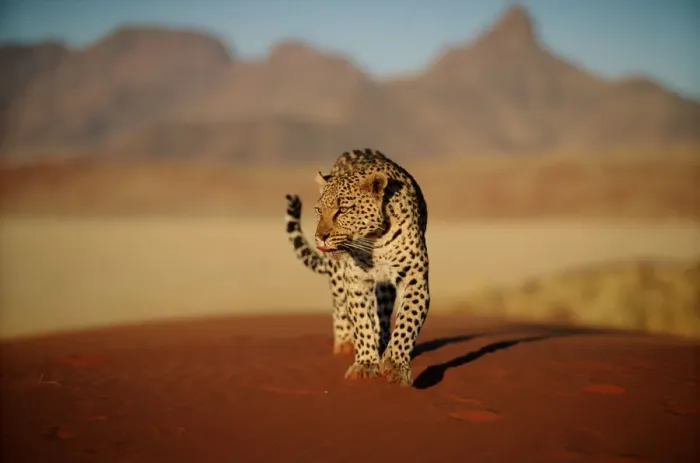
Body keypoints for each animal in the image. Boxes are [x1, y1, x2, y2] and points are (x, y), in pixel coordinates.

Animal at [285, 148, 430, 387]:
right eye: (318, 211)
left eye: (343, 210)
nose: (320, 237)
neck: (375, 240)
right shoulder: (356, 280)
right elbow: (361, 321)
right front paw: (366, 364)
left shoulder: (414, 278)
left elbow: (408, 321)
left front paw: (395, 364)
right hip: (337, 275)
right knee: (340, 306)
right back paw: (344, 344)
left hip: (384, 287)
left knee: (382, 314)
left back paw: (383, 344)